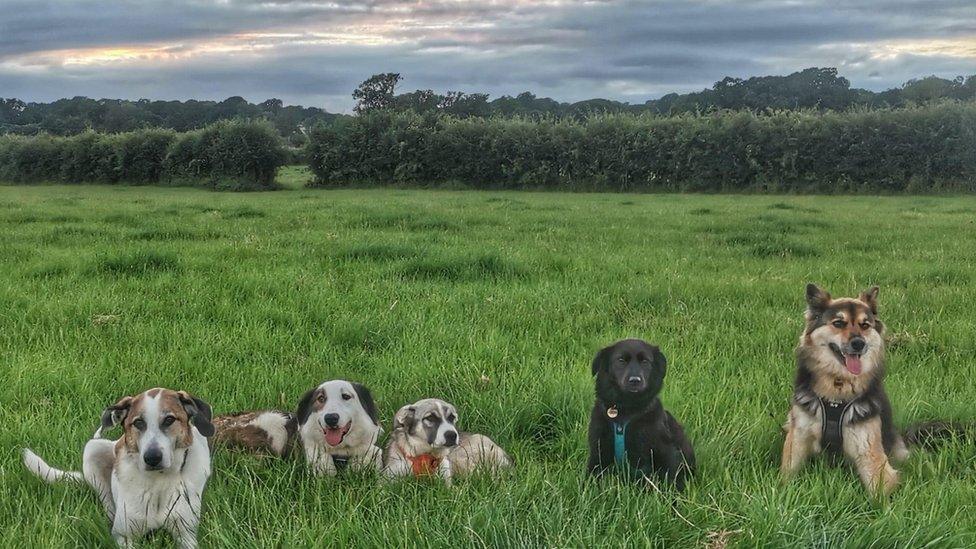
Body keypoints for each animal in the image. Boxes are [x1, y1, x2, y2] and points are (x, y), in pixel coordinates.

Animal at [22, 388, 214, 544]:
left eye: (169, 420)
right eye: (138, 423)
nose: (152, 458)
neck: (158, 480)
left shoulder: (186, 534)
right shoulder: (124, 536)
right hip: (93, 449)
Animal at [588, 338, 692, 488]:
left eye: (645, 361)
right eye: (621, 360)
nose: (635, 380)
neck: (625, 413)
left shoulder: (665, 453)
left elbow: (671, 478)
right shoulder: (598, 450)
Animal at [776, 286, 908, 496]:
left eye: (865, 325)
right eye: (838, 323)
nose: (858, 343)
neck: (838, 384)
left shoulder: (868, 447)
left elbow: (879, 487)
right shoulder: (798, 436)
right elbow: (788, 472)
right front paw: (782, 492)